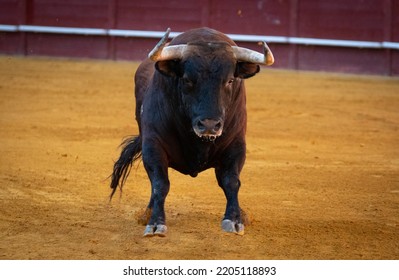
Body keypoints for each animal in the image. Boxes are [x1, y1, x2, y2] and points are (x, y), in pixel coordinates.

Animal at [111, 27, 276, 236]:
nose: (209, 125)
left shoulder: (236, 145)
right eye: (187, 80)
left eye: (230, 80)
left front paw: (234, 220)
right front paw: (155, 222)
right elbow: (159, 183)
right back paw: (147, 213)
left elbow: (231, 182)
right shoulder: (153, 144)